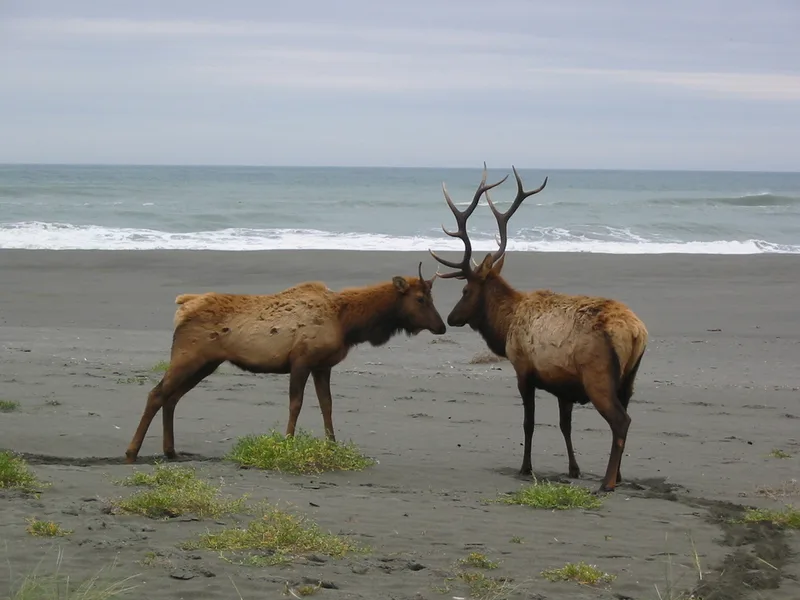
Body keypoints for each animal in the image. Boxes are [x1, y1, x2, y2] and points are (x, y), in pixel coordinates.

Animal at [124, 263, 447, 463]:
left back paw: (170, 451)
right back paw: (132, 451)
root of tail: (183, 305)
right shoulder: (300, 360)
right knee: (156, 394)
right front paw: (288, 442)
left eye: (432, 297)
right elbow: (296, 404)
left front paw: (332, 444)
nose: (442, 327)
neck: (348, 323)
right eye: (421, 298)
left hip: (205, 364)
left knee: (172, 397)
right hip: (188, 357)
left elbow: (327, 405)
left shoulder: (323, 365)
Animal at [429, 164, 648, 493]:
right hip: (629, 378)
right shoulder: (562, 383)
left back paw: (607, 483)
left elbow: (528, 423)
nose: (451, 318)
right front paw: (573, 468)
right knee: (627, 413)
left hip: (598, 375)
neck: (505, 325)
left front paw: (525, 467)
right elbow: (564, 425)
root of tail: (636, 332)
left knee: (621, 421)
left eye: (465, 290)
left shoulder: (523, 368)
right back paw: (619, 476)